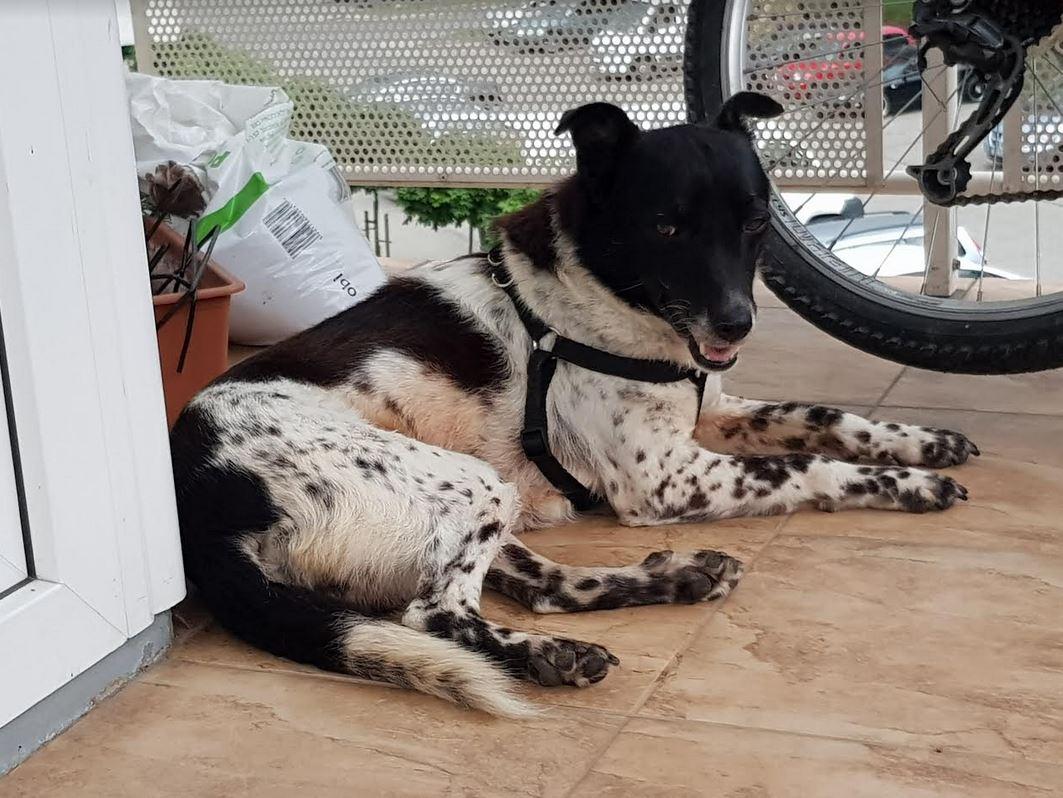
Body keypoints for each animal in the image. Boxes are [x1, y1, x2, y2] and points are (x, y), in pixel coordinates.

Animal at [170, 92, 978, 716]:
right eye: (666, 225)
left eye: (754, 221)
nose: (736, 324)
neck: (603, 295)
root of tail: (199, 498)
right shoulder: (666, 477)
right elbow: (807, 464)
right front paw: (904, 484)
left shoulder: (714, 407)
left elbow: (825, 417)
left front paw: (920, 444)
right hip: (465, 482)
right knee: (438, 614)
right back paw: (548, 654)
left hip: (467, 502)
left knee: (545, 585)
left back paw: (672, 580)